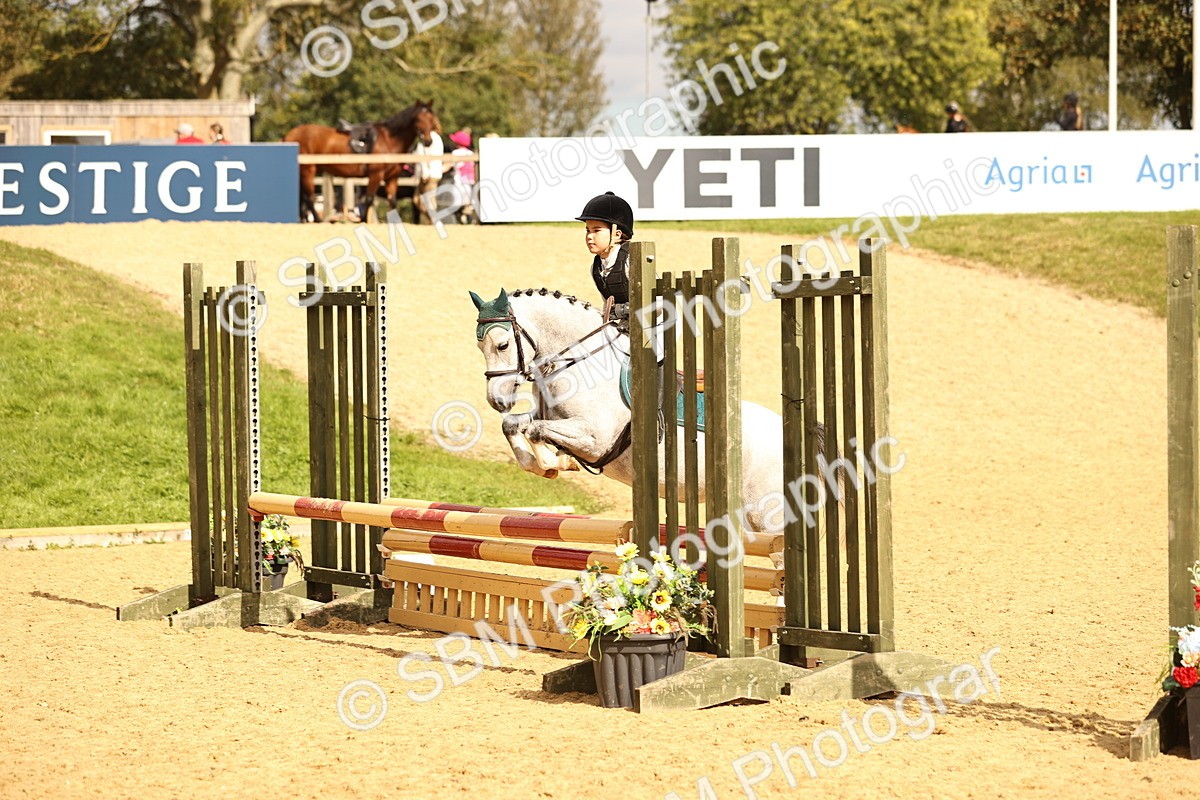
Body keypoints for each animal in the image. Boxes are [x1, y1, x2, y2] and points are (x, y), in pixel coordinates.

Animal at [283, 100, 441, 223]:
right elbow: (369, 199)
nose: (428, 141)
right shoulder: (376, 174)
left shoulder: (391, 178)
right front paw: (363, 220)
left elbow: (392, 201)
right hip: (308, 170)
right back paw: (317, 220)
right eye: (419, 118)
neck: (389, 140)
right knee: (309, 198)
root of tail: (290, 134)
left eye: (431, 118)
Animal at [468, 287, 790, 539]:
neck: (577, 361)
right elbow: (514, 426)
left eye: (502, 344)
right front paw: (549, 465)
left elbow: (536, 431)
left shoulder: (595, 438)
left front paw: (557, 461)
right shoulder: (549, 417)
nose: (497, 400)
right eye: (479, 345)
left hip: (764, 516)